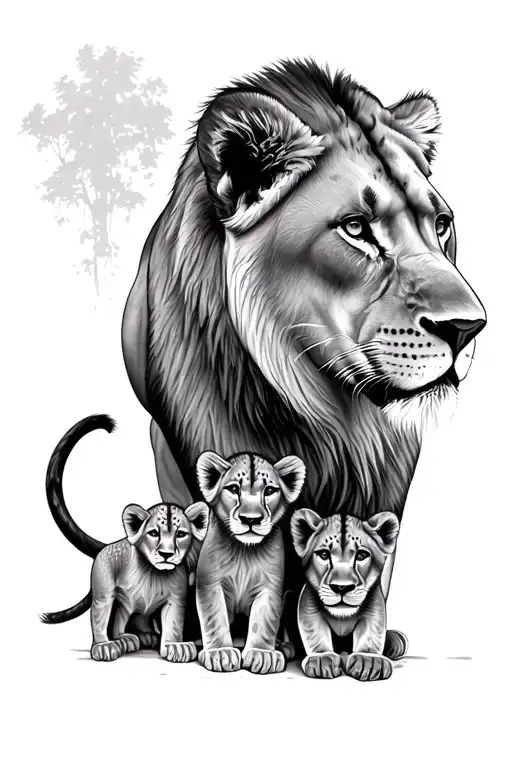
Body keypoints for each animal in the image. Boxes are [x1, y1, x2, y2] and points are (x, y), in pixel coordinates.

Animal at [194, 450, 306, 674]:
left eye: (269, 490)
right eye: (234, 489)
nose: (251, 519)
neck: (244, 551)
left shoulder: (270, 587)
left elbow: (264, 620)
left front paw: (262, 653)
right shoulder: (209, 583)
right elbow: (214, 617)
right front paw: (220, 652)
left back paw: (284, 647)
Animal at [291, 508, 403, 680]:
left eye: (361, 555)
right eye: (324, 555)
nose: (341, 588)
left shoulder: (374, 604)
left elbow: (373, 630)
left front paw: (368, 660)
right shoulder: (308, 604)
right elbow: (314, 631)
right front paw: (322, 658)